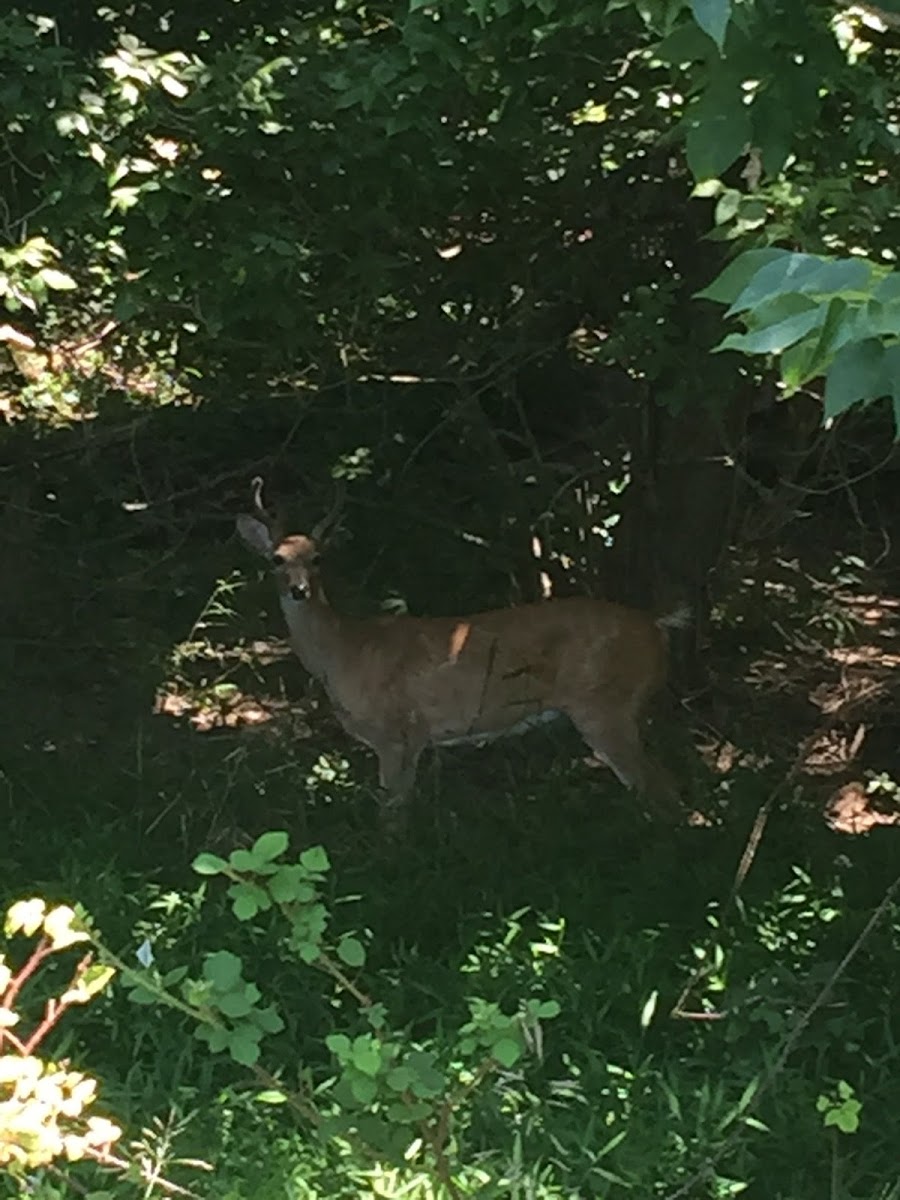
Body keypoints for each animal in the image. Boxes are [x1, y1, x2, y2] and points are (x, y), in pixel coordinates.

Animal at [236, 477, 686, 835]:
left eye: (317, 558)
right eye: (276, 559)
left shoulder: (399, 731)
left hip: (605, 704)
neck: (343, 651)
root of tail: (656, 626)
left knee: (663, 791)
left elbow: (392, 817)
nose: (298, 590)